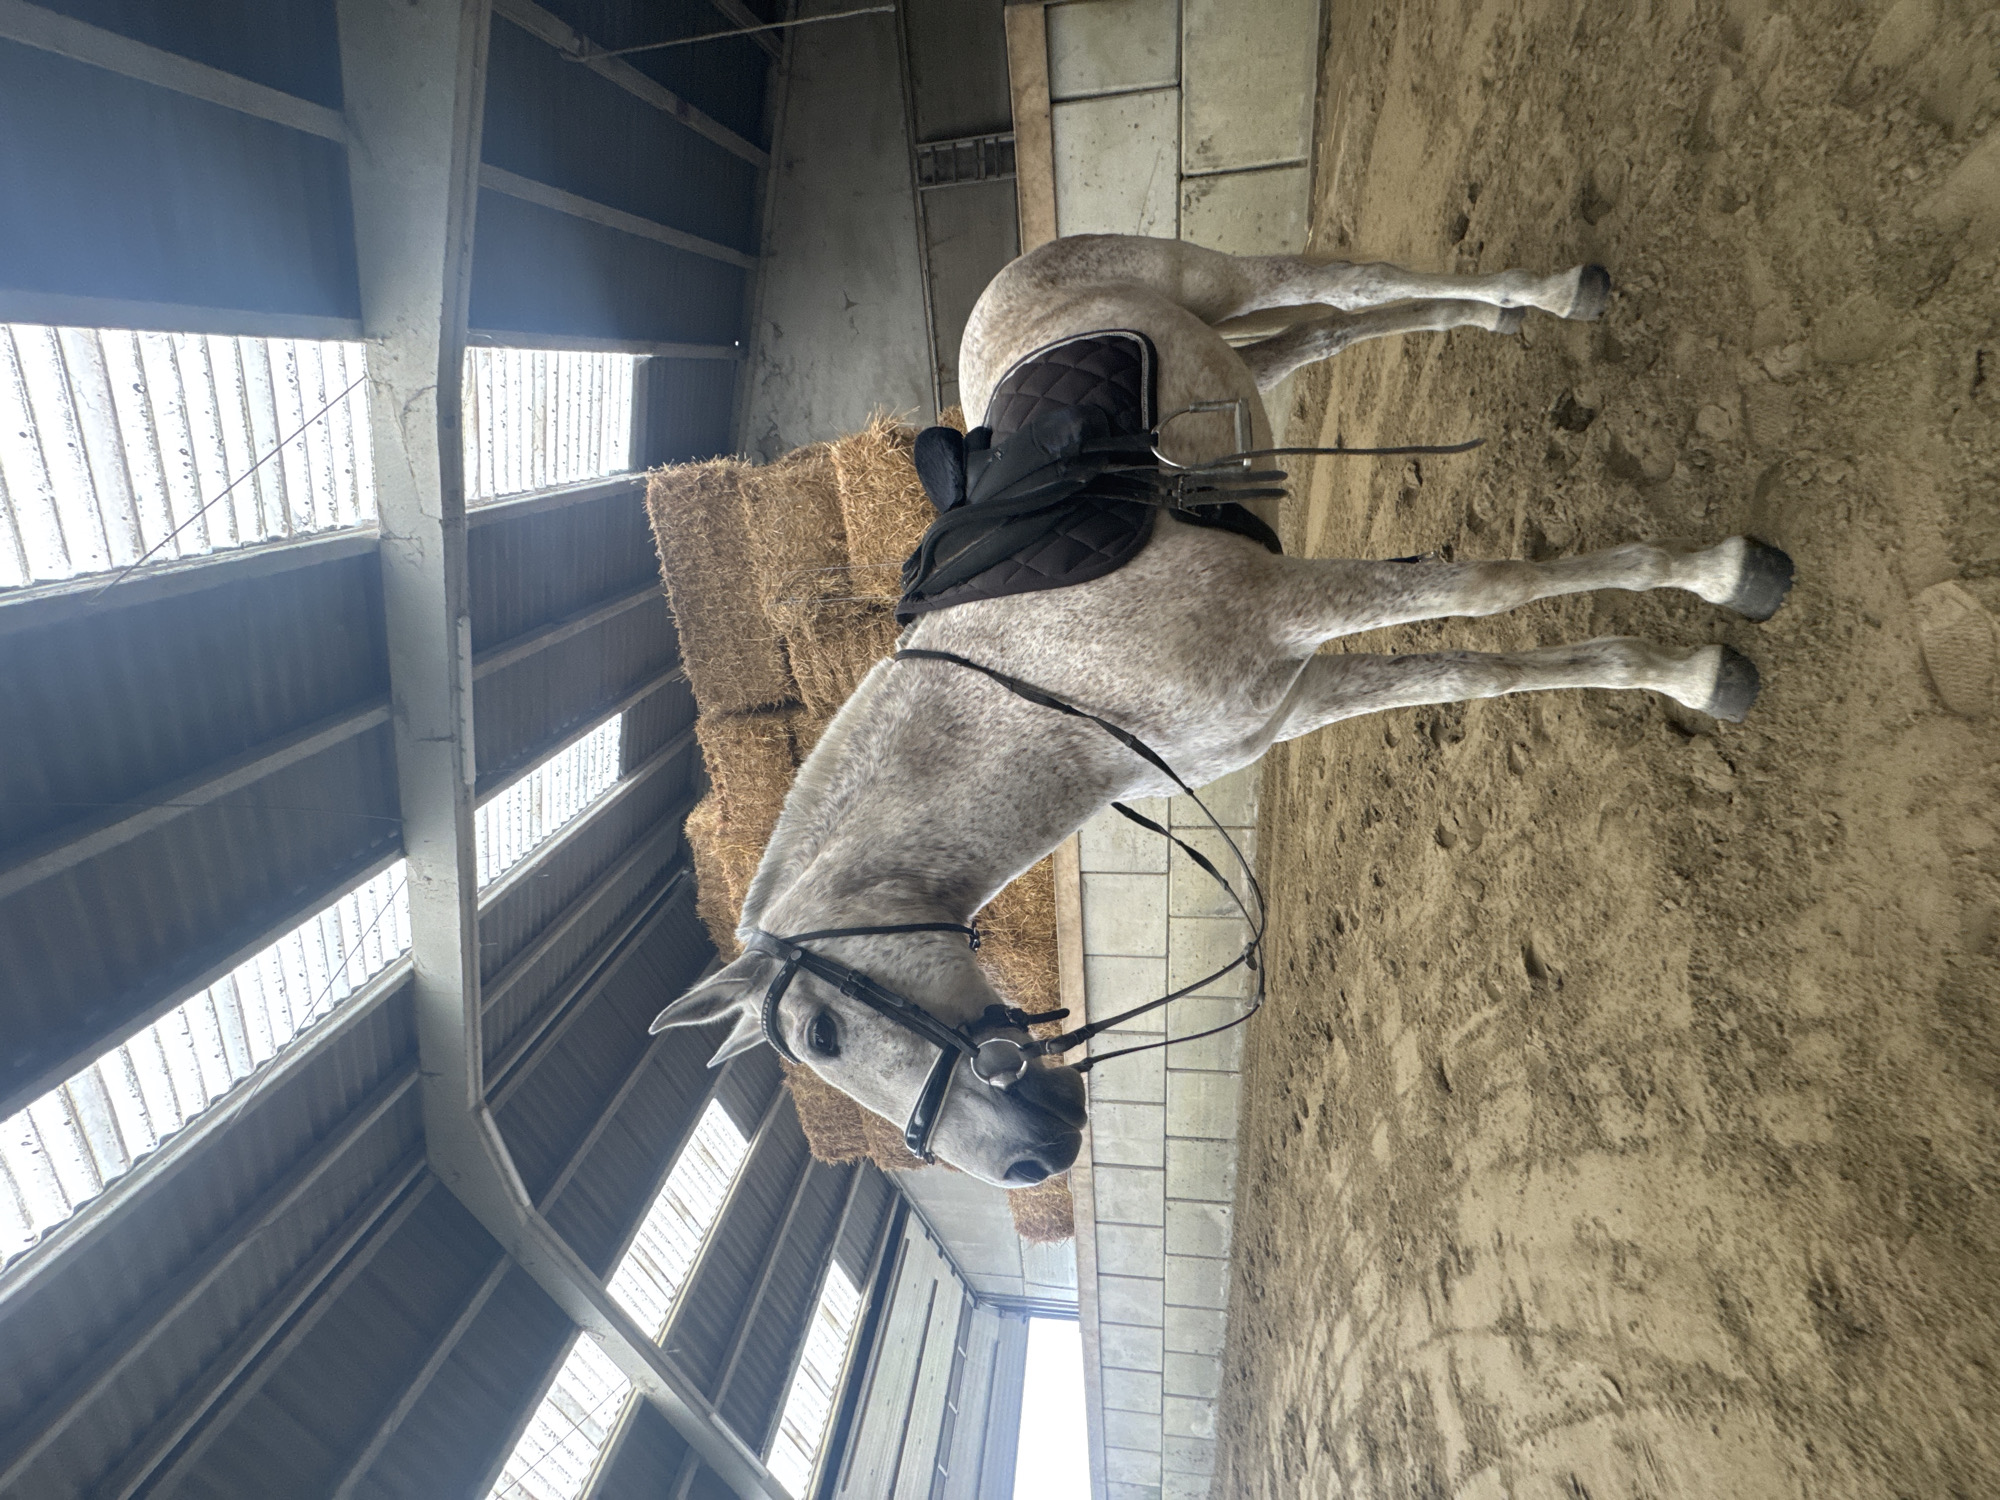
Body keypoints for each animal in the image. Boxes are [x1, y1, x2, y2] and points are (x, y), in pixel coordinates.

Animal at [649, 234, 1794, 1189]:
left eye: (825, 1041)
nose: (1032, 1167)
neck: (1057, 693)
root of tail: (1005, 278)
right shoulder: (1288, 695)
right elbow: (1473, 675)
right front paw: (1681, 664)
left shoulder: (1292, 610)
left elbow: (1483, 592)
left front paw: (1718, 597)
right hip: (1242, 353)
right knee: (1330, 327)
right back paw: (1509, 319)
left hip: (1217, 280)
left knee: (1351, 281)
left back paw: (1553, 293)